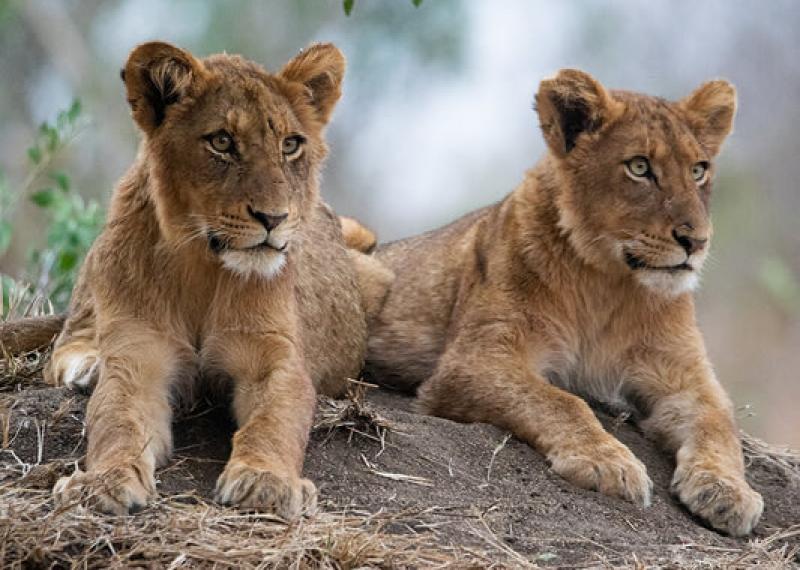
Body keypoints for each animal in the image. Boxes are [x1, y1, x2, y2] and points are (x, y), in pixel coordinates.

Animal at [33, 42, 366, 516]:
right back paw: (89, 366)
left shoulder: (275, 356)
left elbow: (274, 420)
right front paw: (104, 481)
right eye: (222, 141)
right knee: (66, 343)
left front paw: (267, 481)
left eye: (290, 144)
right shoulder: (138, 357)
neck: (203, 265)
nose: (274, 218)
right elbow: (117, 420)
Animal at [346, 70, 764, 532]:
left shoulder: (684, 374)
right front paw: (607, 463)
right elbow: (562, 401)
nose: (697, 241)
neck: (609, 282)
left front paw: (727, 491)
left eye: (698, 170)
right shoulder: (475, 359)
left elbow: (718, 423)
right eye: (639, 167)